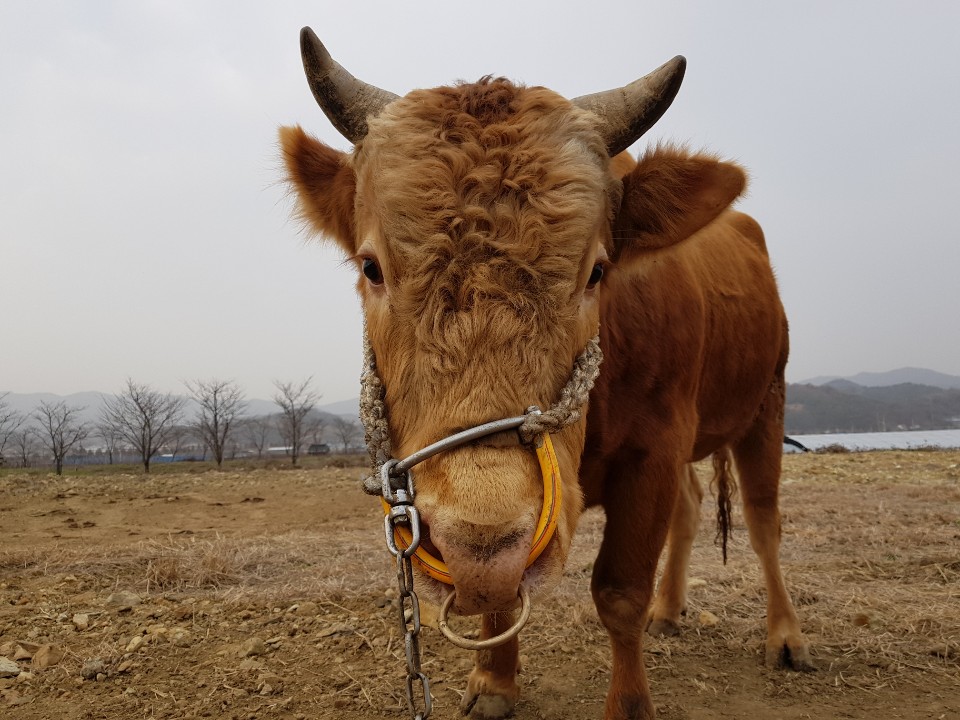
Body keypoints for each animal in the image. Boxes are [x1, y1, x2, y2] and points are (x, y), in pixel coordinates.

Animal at [280, 28, 808, 720]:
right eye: (372, 267)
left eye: (596, 272)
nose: (476, 549)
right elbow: (501, 598)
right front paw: (494, 681)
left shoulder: (656, 450)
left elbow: (619, 593)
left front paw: (629, 705)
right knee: (693, 511)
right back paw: (671, 611)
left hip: (765, 404)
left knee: (764, 522)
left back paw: (786, 635)